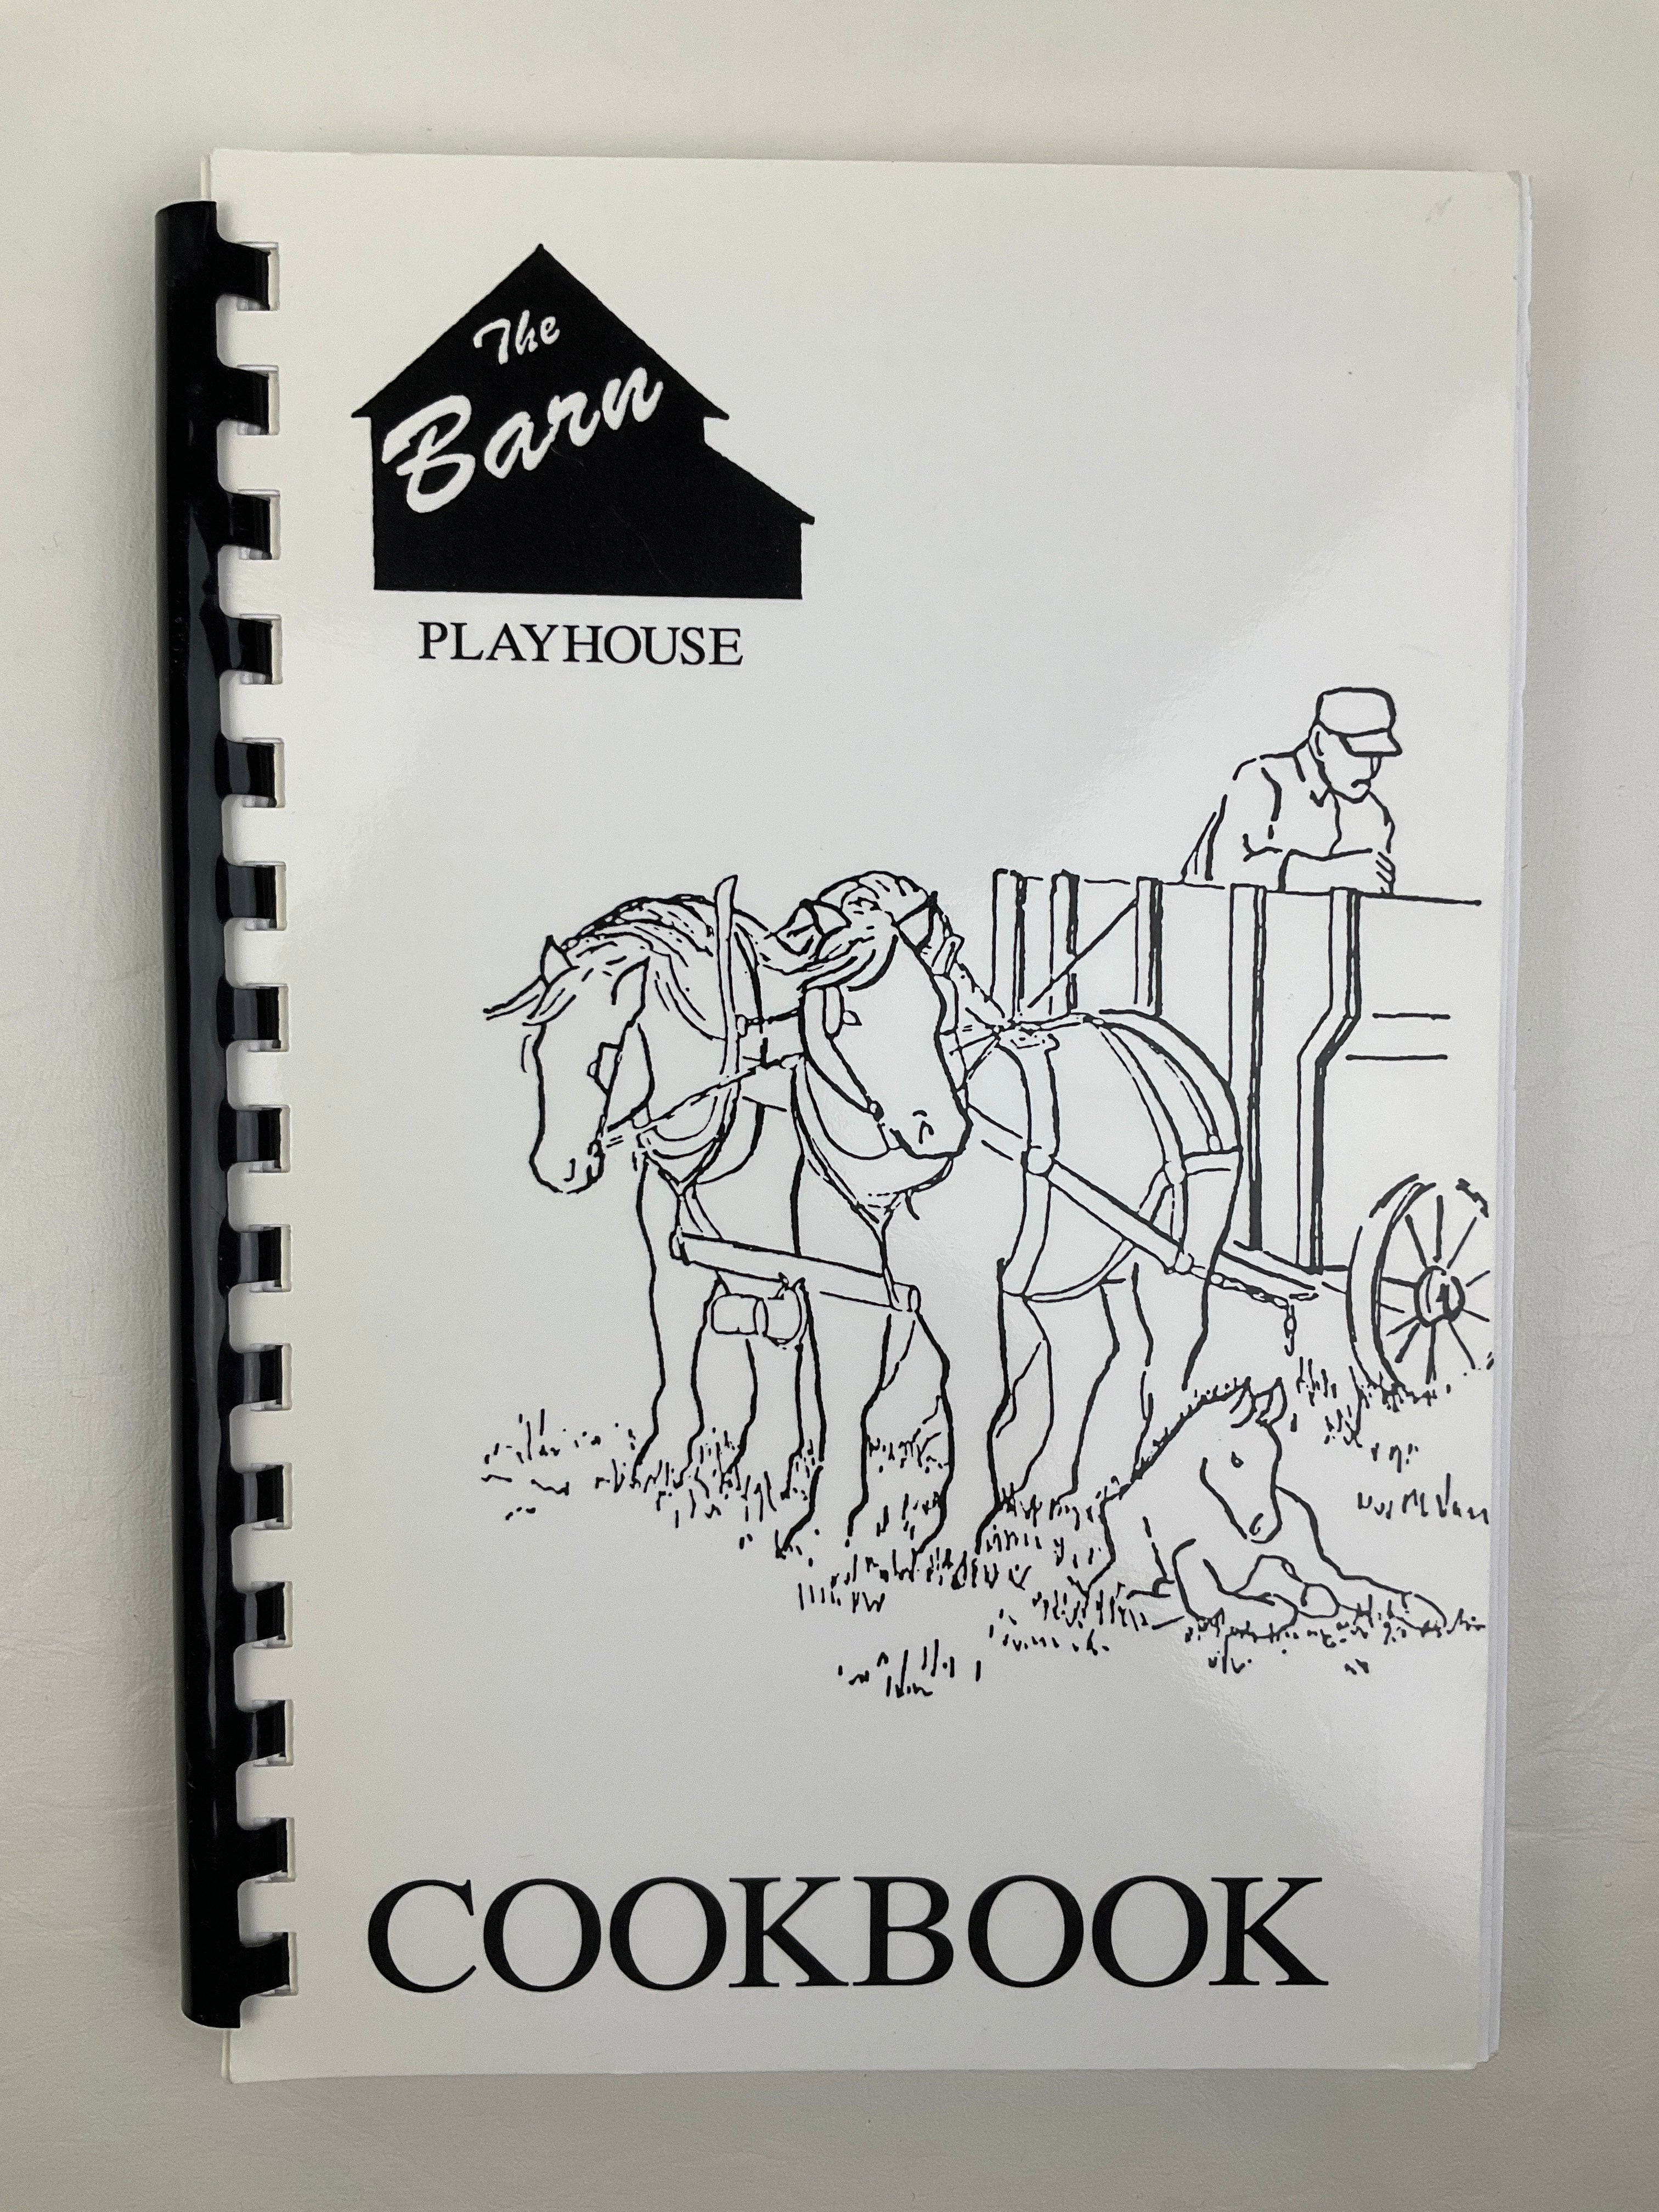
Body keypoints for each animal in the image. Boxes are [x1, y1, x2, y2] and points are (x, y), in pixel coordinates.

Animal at [1102, 1379, 1446, 1638]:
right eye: (1236, 1460)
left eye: (1275, 1458)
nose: (1265, 1527)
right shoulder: (1183, 1560)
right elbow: (1206, 1599)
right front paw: (1269, 1612)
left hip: (1309, 1559)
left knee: (1347, 1585)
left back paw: (1419, 1610)